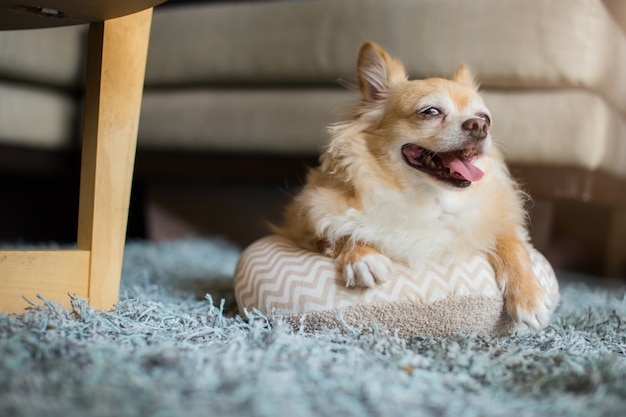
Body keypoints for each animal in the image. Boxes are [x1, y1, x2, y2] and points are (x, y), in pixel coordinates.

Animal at [276, 40, 544, 330]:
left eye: (486, 118)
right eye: (430, 112)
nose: (480, 126)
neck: (431, 197)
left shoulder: (498, 220)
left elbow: (512, 243)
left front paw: (529, 295)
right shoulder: (304, 219)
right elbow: (339, 229)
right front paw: (363, 258)